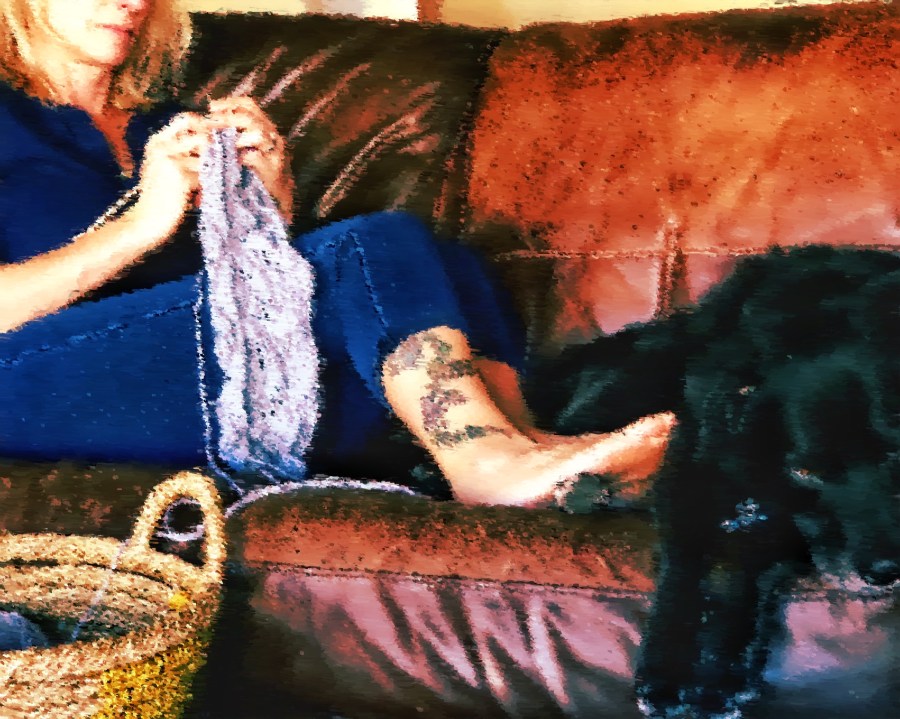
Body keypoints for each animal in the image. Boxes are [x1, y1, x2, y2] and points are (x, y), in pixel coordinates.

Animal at [529, 245, 900, 718]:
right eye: (806, 471)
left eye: (897, 454)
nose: (885, 572)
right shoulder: (699, 479)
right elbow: (694, 567)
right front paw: (672, 671)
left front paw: (718, 675)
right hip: (621, 390)